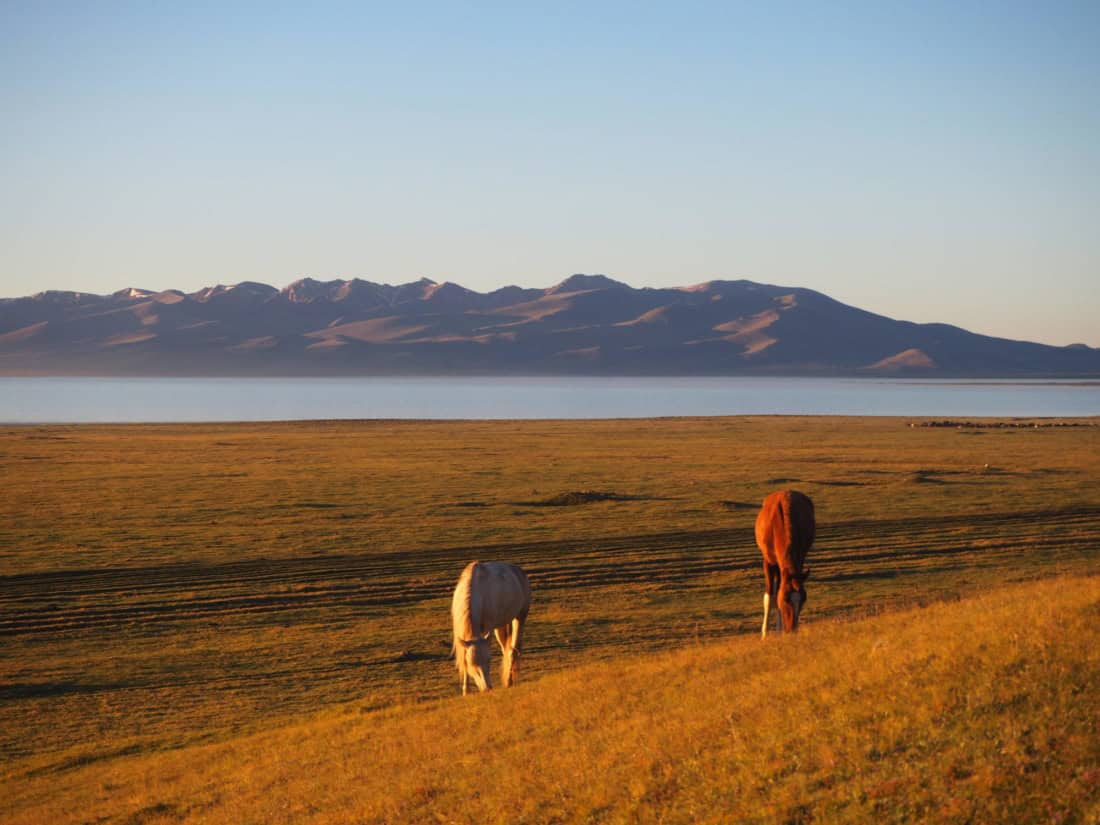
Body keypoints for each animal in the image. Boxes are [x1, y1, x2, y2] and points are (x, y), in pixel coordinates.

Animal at [451, 560, 532, 694]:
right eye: (472, 663)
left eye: (489, 661)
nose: (487, 688)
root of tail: (519, 571)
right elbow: (463, 657)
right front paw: (466, 691)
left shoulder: (487, 629)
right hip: (502, 625)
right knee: (506, 649)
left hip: (520, 617)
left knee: (512, 651)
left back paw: (508, 682)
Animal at [756, 490, 815, 637]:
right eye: (786, 599)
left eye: (804, 599)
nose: (792, 630)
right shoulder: (768, 562)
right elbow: (770, 596)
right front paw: (764, 634)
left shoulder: (799, 561)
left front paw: (779, 630)